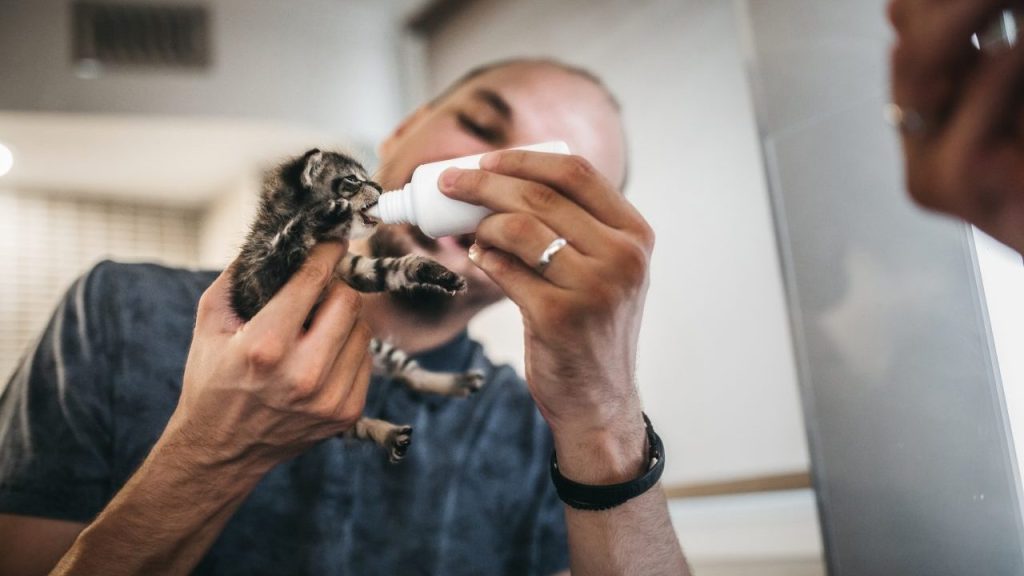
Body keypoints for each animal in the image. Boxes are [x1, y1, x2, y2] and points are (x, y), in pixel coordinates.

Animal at [233, 148, 487, 461]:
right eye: (352, 180)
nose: (379, 187)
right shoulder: (259, 279)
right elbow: (285, 242)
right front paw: (321, 215)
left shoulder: (357, 268)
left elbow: (397, 267)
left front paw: (438, 274)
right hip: (327, 418)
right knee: (359, 422)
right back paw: (389, 434)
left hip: (380, 349)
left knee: (410, 375)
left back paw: (459, 383)